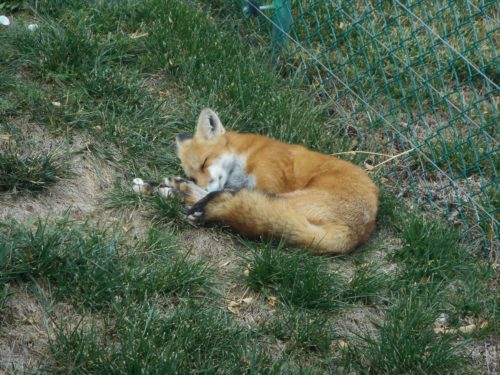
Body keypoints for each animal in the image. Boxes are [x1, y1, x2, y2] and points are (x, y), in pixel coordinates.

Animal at [133, 108, 378, 256]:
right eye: (193, 173)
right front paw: (165, 184)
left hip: (289, 198)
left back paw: (176, 193)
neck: (247, 155)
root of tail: (358, 233)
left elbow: (226, 194)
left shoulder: (268, 181)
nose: (196, 182)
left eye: (204, 163)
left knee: (227, 199)